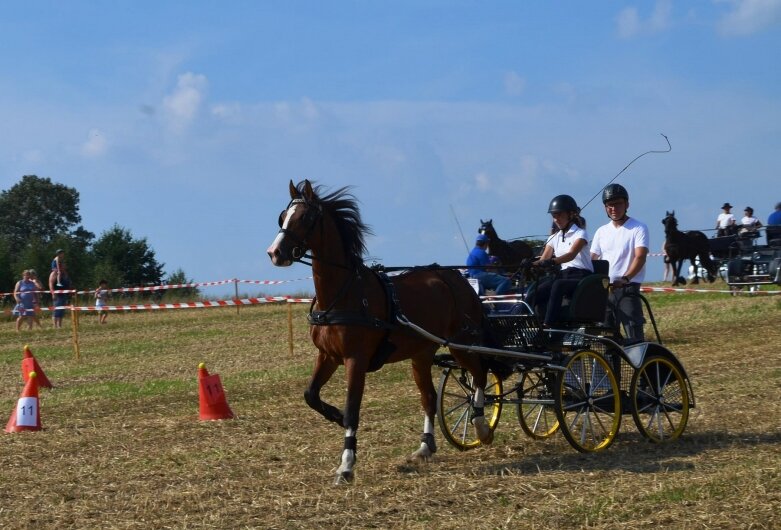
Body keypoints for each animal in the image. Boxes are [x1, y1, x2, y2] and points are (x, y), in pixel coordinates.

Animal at [266, 178, 490, 482]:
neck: (344, 294)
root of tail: (456, 277)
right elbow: (310, 394)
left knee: (480, 374)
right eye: (283, 216)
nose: (275, 253)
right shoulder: (327, 356)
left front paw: (346, 464)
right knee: (430, 398)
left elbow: (353, 409)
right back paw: (425, 447)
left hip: (461, 343)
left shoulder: (356, 360)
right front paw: (335, 416)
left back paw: (480, 424)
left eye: (304, 218)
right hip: (422, 354)